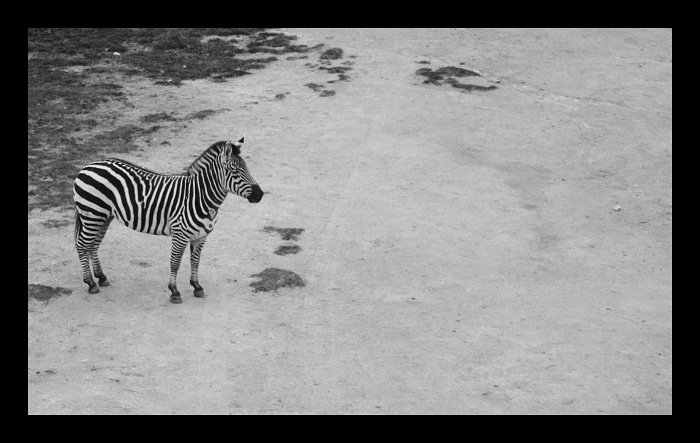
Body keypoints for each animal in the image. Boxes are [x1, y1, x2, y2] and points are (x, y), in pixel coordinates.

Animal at [73, 137, 264, 304]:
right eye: (235, 171)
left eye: (246, 167)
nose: (260, 195)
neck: (200, 197)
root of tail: (88, 166)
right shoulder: (180, 234)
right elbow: (175, 263)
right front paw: (174, 291)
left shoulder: (201, 236)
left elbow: (195, 261)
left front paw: (197, 286)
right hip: (92, 214)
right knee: (82, 245)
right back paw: (90, 283)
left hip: (104, 217)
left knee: (93, 245)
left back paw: (101, 277)